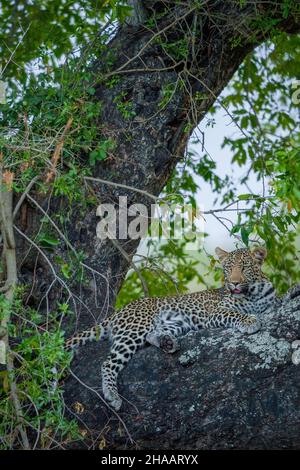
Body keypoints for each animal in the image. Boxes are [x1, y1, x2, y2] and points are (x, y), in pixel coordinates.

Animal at [66, 246, 276, 412]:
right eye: (228, 268)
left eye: (244, 267)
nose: (234, 283)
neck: (253, 294)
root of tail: (121, 310)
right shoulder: (215, 312)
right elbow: (234, 314)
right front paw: (249, 321)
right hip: (135, 329)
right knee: (108, 362)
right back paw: (112, 394)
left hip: (177, 323)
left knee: (151, 336)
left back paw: (167, 342)